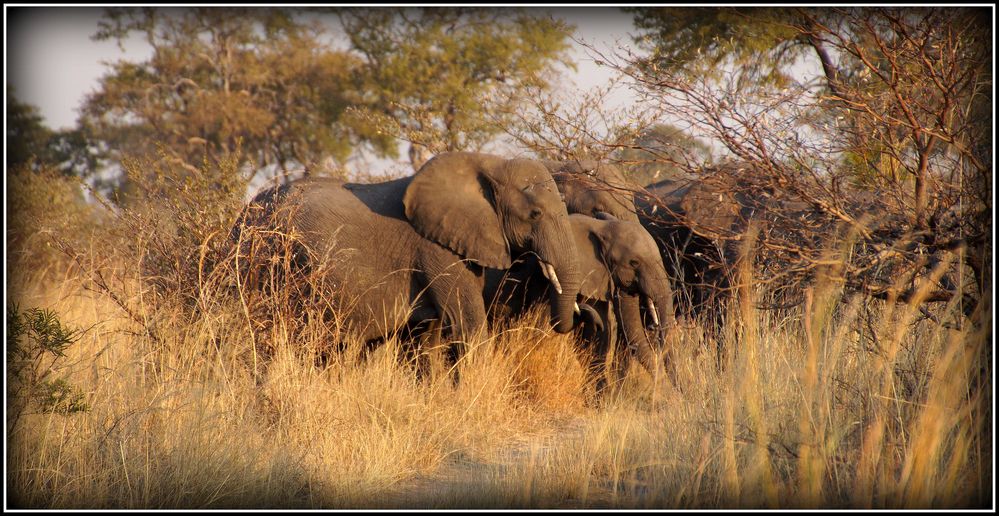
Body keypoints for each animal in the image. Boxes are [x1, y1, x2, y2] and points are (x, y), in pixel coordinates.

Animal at [486, 213, 676, 392]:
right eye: (634, 262)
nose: (653, 328)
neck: (600, 227)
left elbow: (599, 335)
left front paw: (601, 396)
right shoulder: (544, 278)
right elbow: (538, 326)